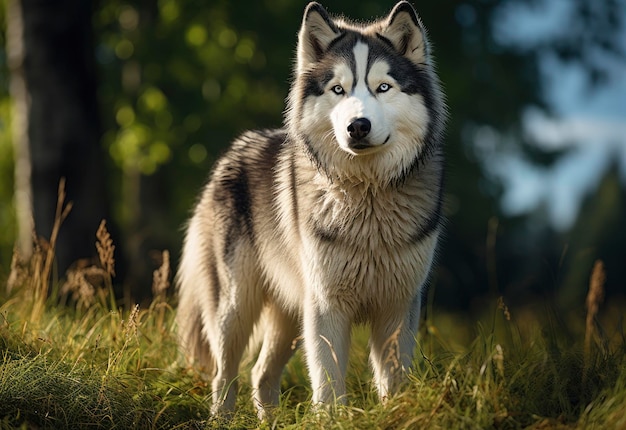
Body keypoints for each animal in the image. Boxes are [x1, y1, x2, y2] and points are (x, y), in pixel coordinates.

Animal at [177, 0, 444, 416]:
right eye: (338, 89)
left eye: (383, 87)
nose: (357, 126)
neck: (367, 200)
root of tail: (232, 153)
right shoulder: (326, 306)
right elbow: (329, 381)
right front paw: (334, 418)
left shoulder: (398, 308)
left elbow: (393, 379)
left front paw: (397, 414)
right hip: (238, 307)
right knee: (224, 374)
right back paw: (222, 418)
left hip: (289, 316)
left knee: (260, 374)